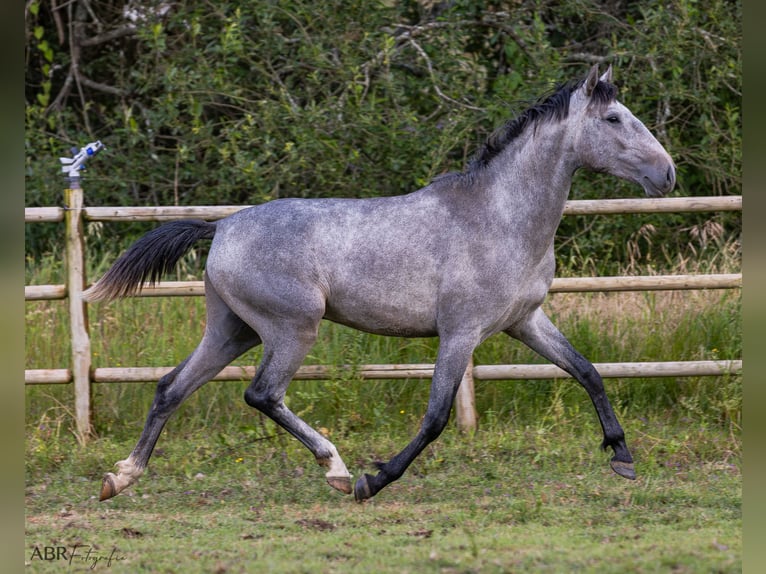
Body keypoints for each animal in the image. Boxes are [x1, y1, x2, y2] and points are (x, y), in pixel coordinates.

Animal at [87, 64, 676, 504]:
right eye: (615, 117)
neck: (501, 216)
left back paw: (121, 477)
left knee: (171, 387)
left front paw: (622, 456)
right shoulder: (460, 333)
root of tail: (223, 226)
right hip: (291, 329)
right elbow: (437, 417)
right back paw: (337, 468)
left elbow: (587, 371)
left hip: (234, 331)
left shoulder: (525, 322)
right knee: (261, 393)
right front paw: (375, 480)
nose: (667, 174)